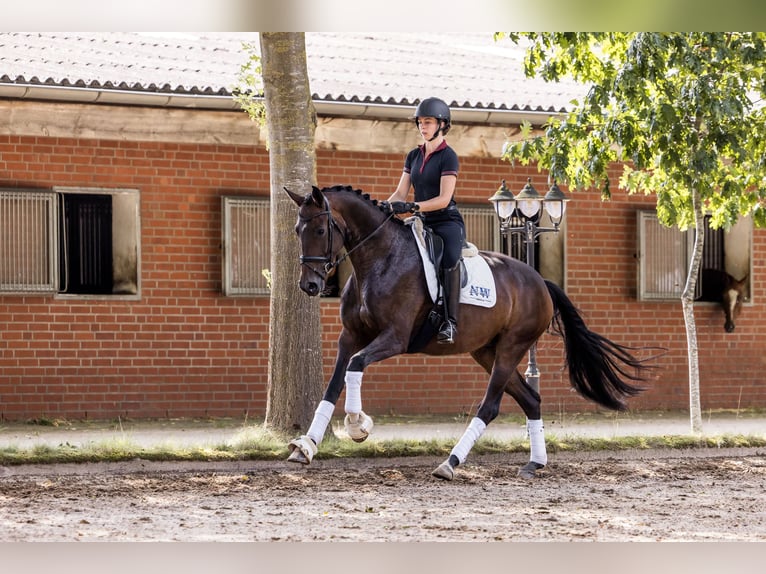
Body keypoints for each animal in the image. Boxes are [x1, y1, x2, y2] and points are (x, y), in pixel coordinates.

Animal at [285, 185, 655, 480]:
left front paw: (358, 424)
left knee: (490, 406)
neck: (378, 260)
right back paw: (534, 463)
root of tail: (540, 282)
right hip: (486, 352)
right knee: (530, 399)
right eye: (297, 229)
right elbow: (333, 385)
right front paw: (306, 446)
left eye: (321, 229)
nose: (310, 285)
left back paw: (450, 463)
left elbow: (356, 366)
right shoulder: (350, 337)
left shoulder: (395, 338)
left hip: (510, 348)